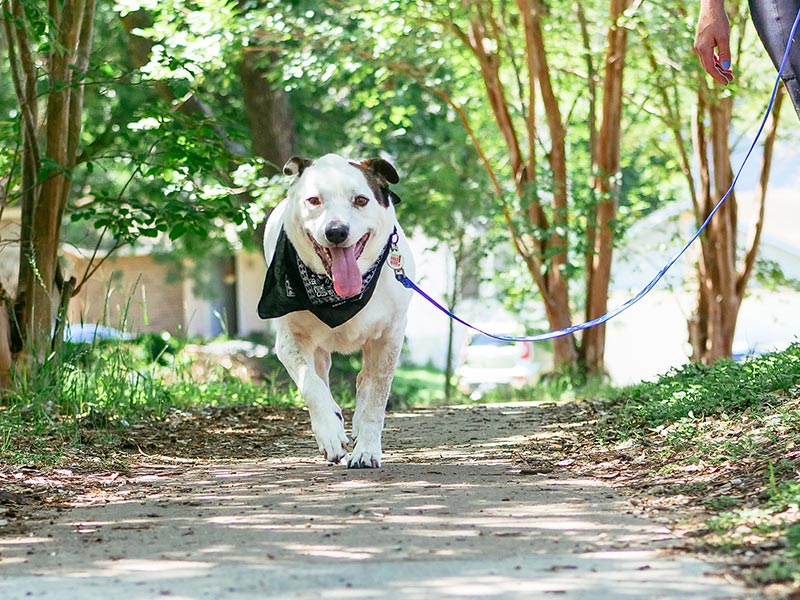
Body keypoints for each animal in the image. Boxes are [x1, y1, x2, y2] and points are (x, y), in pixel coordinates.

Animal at [260, 152, 416, 466]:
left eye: (361, 200)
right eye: (313, 200)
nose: (336, 231)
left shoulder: (390, 336)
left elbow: (377, 395)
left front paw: (366, 449)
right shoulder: (289, 339)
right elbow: (311, 384)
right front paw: (330, 432)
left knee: (365, 379)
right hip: (319, 349)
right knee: (321, 375)